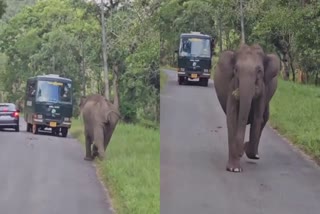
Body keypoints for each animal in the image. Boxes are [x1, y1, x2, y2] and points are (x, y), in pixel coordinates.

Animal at [215, 43, 280, 172]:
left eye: (259, 71)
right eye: (236, 70)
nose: (240, 153)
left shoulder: (263, 89)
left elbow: (257, 118)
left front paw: (246, 150)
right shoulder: (232, 84)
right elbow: (232, 117)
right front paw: (234, 169)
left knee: (264, 118)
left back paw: (253, 154)